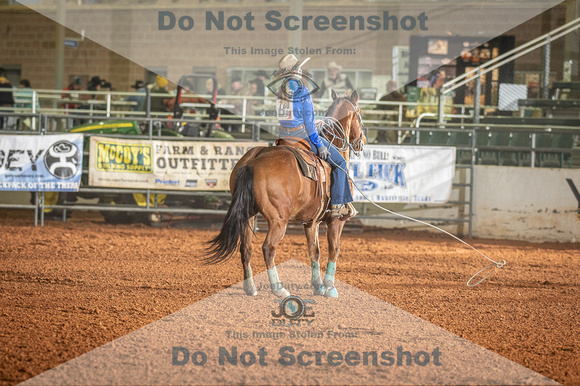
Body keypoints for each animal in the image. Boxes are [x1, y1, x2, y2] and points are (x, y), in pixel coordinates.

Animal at [206, 90, 364, 298]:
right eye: (360, 113)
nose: (362, 143)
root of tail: (253, 161)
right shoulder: (336, 221)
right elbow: (334, 249)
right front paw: (330, 287)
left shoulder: (311, 222)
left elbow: (314, 251)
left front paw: (318, 285)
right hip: (278, 220)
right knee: (268, 248)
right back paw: (278, 288)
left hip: (248, 216)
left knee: (246, 248)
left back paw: (250, 288)